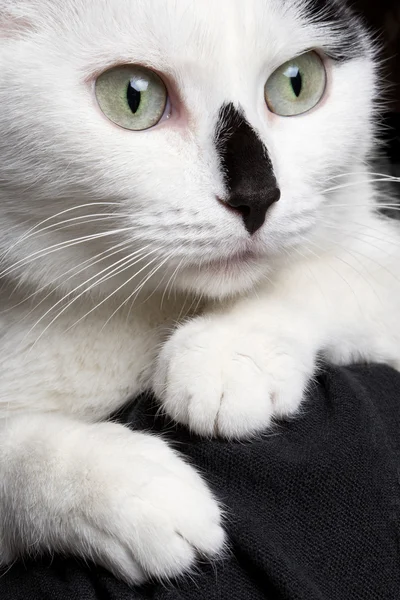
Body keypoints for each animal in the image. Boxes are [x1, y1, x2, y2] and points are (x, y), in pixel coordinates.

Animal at [0, 0, 400, 584]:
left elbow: (330, 272)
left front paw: (231, 351)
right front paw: (127, 490)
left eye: (297, 83)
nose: (258, 198)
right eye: (133, 96)